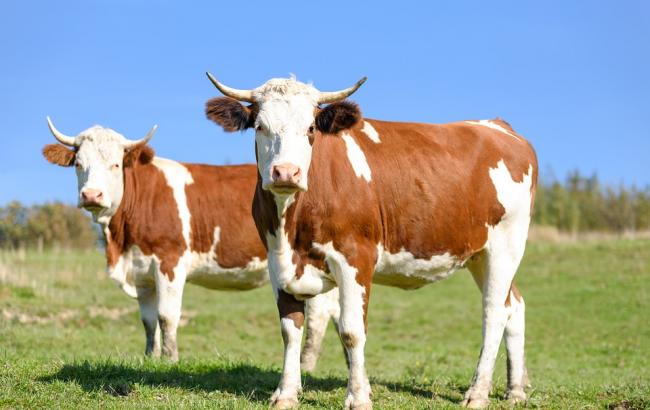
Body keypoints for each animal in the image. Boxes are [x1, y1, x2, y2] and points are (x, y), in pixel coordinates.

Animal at [41, 116, 340, 366]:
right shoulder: (141, 272)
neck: (121, 242)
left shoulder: (169, 262)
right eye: (78, 164)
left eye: (115, 164)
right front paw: (150, 357)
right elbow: (148, 320)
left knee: (319, 315)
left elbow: (167, 316)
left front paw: (170, 359)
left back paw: (306, 364)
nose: (92, 195)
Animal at [204, 74, 536, 410]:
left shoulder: (356, 257)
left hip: (506, 245)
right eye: (260, 126)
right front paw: (286, 394)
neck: (292, 225)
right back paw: (515, 390)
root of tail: (497, 126)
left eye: (310, 128)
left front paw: (358, 397)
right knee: (514, 305)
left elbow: (352, 331)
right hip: (478, 255)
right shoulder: (277, 261)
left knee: (494, 312)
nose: (286, 172)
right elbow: (290, 330)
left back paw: (477, 393)